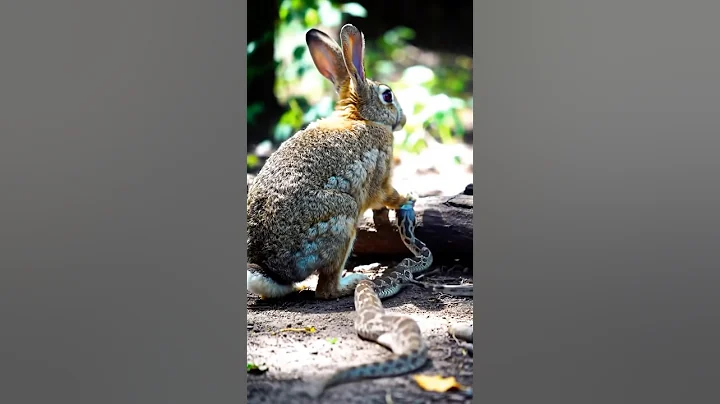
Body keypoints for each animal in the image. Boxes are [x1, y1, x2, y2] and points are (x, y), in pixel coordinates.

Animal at [247, 24, 414, 300]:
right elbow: (388, 195)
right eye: (388, 95)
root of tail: (272, 269)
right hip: (343, 218)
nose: (404, 120)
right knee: (326, 289)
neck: (361, 117)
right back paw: (354, 282)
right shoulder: (381, 175)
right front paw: (409, 197)